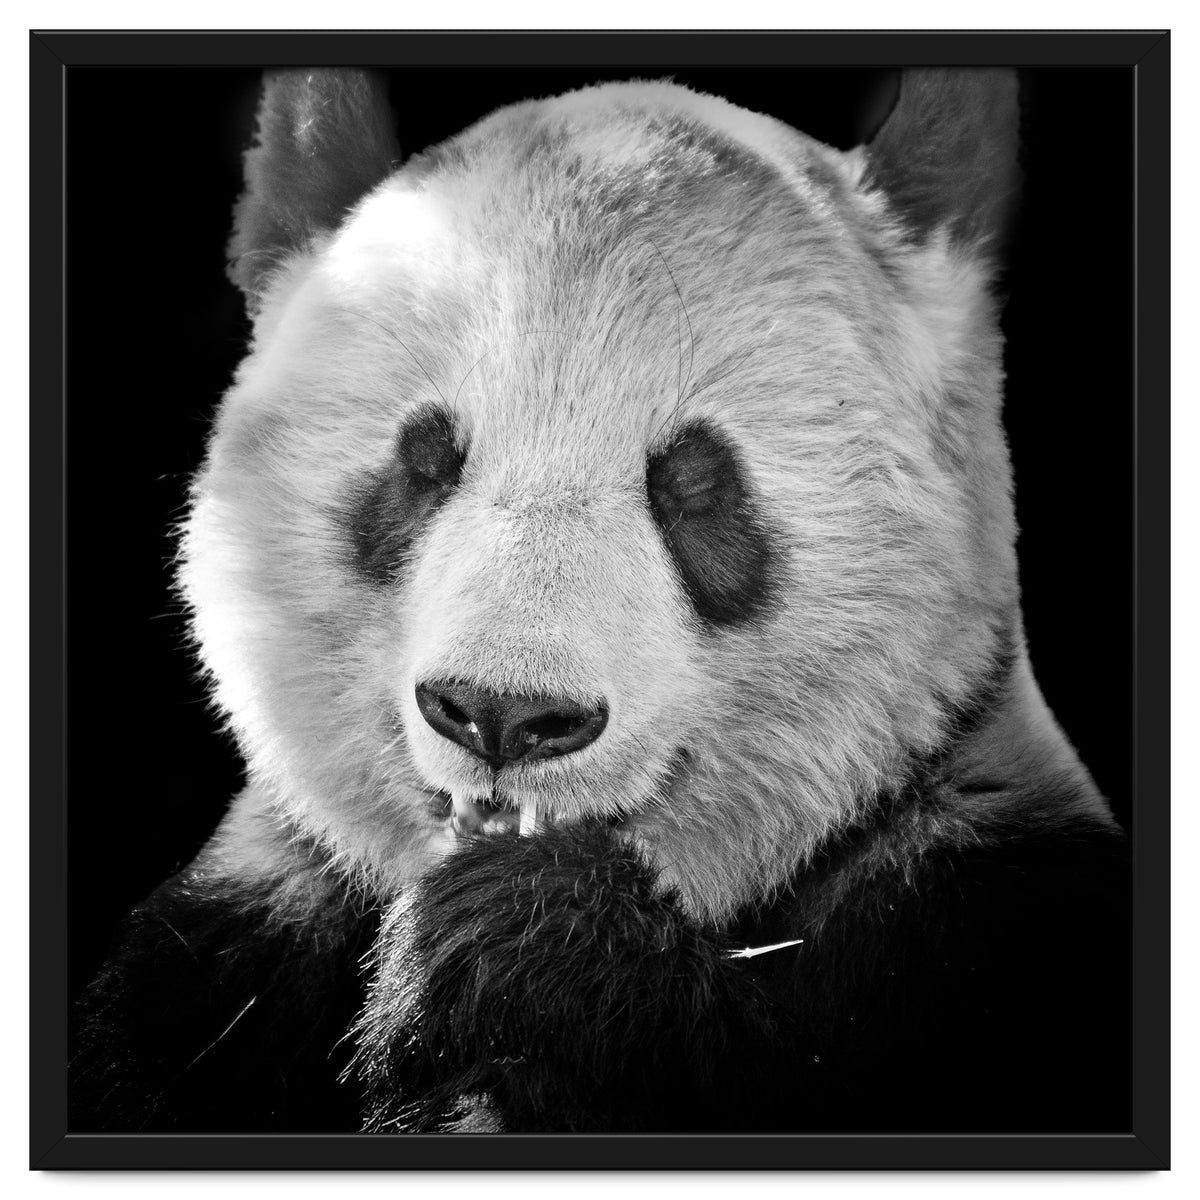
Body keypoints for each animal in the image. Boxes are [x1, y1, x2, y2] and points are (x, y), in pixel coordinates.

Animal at [70, 67, 1131, 1135]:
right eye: (425, 460)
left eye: (694, 484)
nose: (503, 714)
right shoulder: (225, 956)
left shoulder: (977, 914)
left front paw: (524, 948)